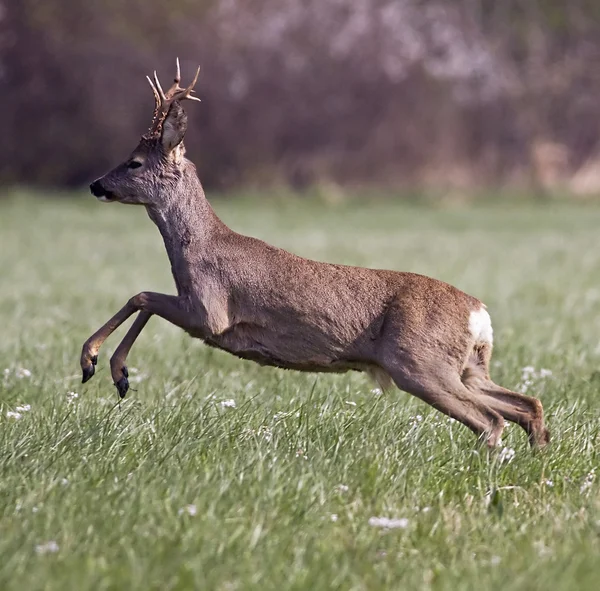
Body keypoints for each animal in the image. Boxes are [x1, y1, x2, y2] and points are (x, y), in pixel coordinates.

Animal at [82, 60, 552, 448]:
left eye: (135, 162)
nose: (95, 184)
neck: (197, 248)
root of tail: (479, 312)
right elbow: (143, 299)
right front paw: (115, 374)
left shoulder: (211, 312)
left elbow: (142, 296)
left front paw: (99, 365)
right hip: (467, 366)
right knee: (528, 405)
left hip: (420, 362)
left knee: (491, 420)